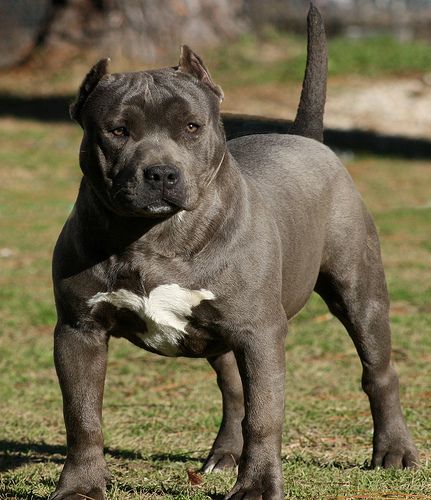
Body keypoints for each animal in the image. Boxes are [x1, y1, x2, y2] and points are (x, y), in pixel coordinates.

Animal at [50, 6, 418, 500]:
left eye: (192, 126)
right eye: (118, 130)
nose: (161, 173)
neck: (154, 237)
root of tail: (308, 139)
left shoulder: (260, 333)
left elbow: (265, 416)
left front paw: (259, 486)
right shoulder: (79, 331)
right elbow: (82, 416)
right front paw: (81, 485)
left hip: (360, 295)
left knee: (378, 372)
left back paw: (394, 451)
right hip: (219, 336)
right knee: (233, 390)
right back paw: (225, 456)